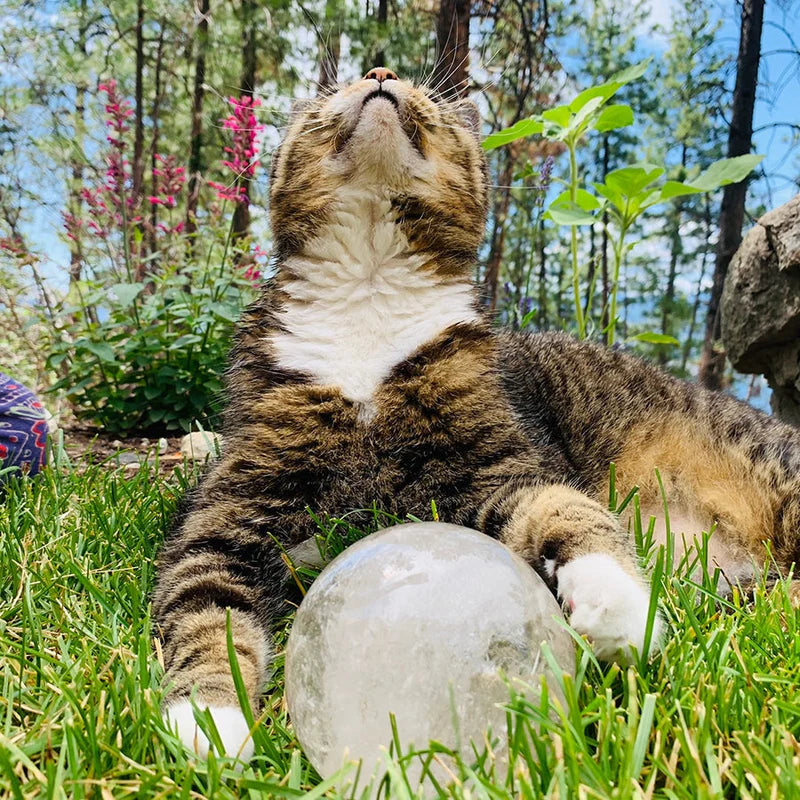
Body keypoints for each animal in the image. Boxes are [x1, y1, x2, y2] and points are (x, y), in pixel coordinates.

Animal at [153, 67, 800, 756]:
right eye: (338, 83)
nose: (379, 72)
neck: (369, 285)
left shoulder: (500, 464)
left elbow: (564, 505)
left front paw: (615, 597)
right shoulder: (230, 507)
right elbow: (202, 607)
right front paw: (208, 719)